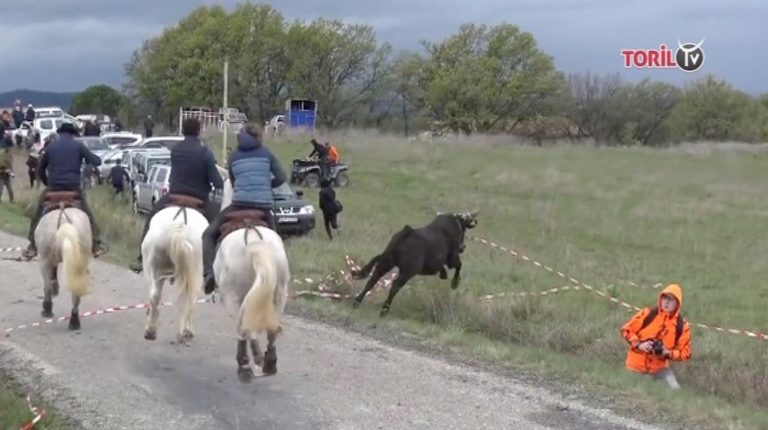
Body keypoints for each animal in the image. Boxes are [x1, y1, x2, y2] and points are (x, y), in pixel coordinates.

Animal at [35, 196, 93, 332]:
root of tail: (64, 222)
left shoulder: (47, 261)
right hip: (80, 264)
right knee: (76, 294)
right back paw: (74, 322)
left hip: (44, 260)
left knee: (47, 285)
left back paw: (47, 309)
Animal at [141, 198, 210, 346]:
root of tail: (180, 228)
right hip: (194, 272)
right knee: (191, 298)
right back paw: (185, 333)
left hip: (154, 268)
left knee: (155, 295)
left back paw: (150, 331)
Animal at [213, 175, 292, 382]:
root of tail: (255, 242)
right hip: (280, 294)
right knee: (271, 330)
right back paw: (269, 363)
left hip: (232, 296)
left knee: (243, 327)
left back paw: (246, 364)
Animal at [350, 211, 480, 316]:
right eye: (463, 230)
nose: (463, 247)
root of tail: (408, 232)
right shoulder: (452, 259)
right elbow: (459, 265)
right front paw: (454, 283)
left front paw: (443, 275)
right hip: (407, 271)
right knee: (394, 286)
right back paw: (384, 310)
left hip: (386, 263)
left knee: (372, 280)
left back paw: (357, 302)